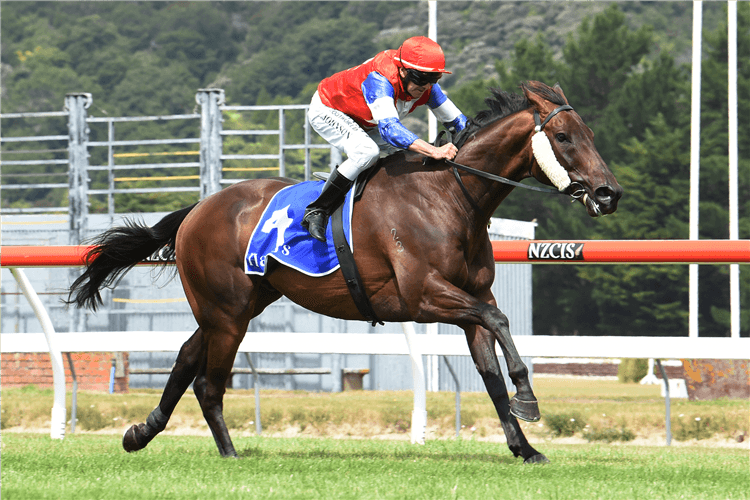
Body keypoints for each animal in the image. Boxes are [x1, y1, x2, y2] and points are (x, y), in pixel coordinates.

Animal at [69, 80, 624, 462]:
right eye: (563, 136)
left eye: (590, 134)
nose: (608, 193)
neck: (450, 197)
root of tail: (198, 209)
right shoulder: (424, 296)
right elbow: (502, 324)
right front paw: (528, 398)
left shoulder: (470, 300)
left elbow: (489, 370)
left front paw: (524, 446)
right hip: (227, 313)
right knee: (209, 382)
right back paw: (229, 454)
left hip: (236, 306)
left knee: (187, 358)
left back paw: (141, 432)